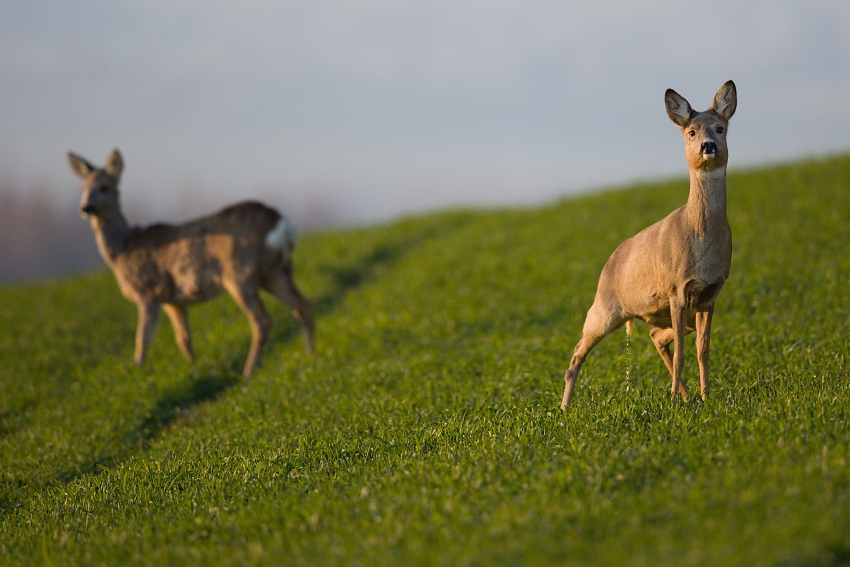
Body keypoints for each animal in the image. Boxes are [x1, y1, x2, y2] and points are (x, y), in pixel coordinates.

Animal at [67, 149, 314, 378]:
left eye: (104, 187)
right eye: (82, 189)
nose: (85, 208)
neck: (125, 249)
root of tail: (281, 222)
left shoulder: (149, 291)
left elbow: (142, 340)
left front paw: (137, 371)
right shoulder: (175, 301)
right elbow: (183, 339)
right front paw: (193, 370)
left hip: (240, 273)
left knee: (263, 321)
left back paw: (248, 373)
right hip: (275, 271)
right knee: (302, 305)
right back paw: (310, 355)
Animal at [560, 80, 737, 409]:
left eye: (720, 128)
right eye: (691, 131)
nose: (708, 145)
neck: (701, 241)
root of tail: (609, 261)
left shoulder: (709, 296)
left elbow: (702, 351)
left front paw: (706, 398)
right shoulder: (677, 289)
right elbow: (682, 353)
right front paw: (675, 402)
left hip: (666, 312)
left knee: (655, 335)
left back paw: (684, 393)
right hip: (605, 308)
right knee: (578, 350)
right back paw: (564, 408)